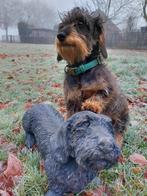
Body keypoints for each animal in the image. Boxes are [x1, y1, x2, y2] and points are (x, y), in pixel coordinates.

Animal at [55, 6, 129, 148]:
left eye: (81, 23)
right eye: (62, 26)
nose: (60, 35)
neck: (81, 69)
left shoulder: (108, 88)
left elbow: (101, 93)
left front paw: (91, 104)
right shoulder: (72, 101)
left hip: (120, 116)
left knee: (119, 131)